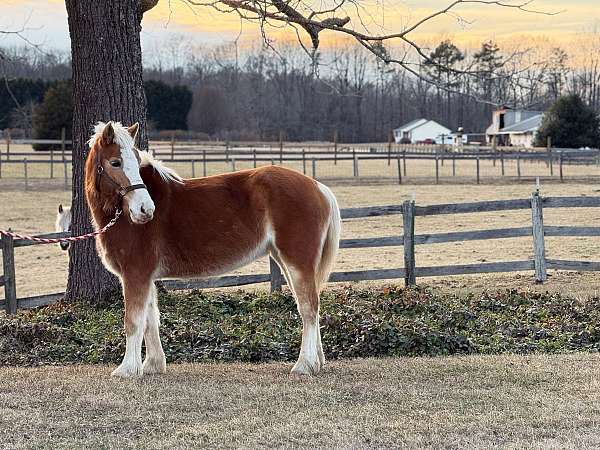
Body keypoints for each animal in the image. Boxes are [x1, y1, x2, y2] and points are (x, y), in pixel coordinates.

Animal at [84, 121, 340, 378]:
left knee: (309, 307)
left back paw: (304, 364)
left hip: (298, 261)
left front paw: (127, 369)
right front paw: (152, 365)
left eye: (136, 162)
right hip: (285, 259)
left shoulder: (135, 274)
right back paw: (317, 361)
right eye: (115, 162)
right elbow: (150, 319)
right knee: (308, 305)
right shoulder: (146, 277)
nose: (145, 209)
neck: (123, 216)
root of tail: (318, 187)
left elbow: (133, 321)